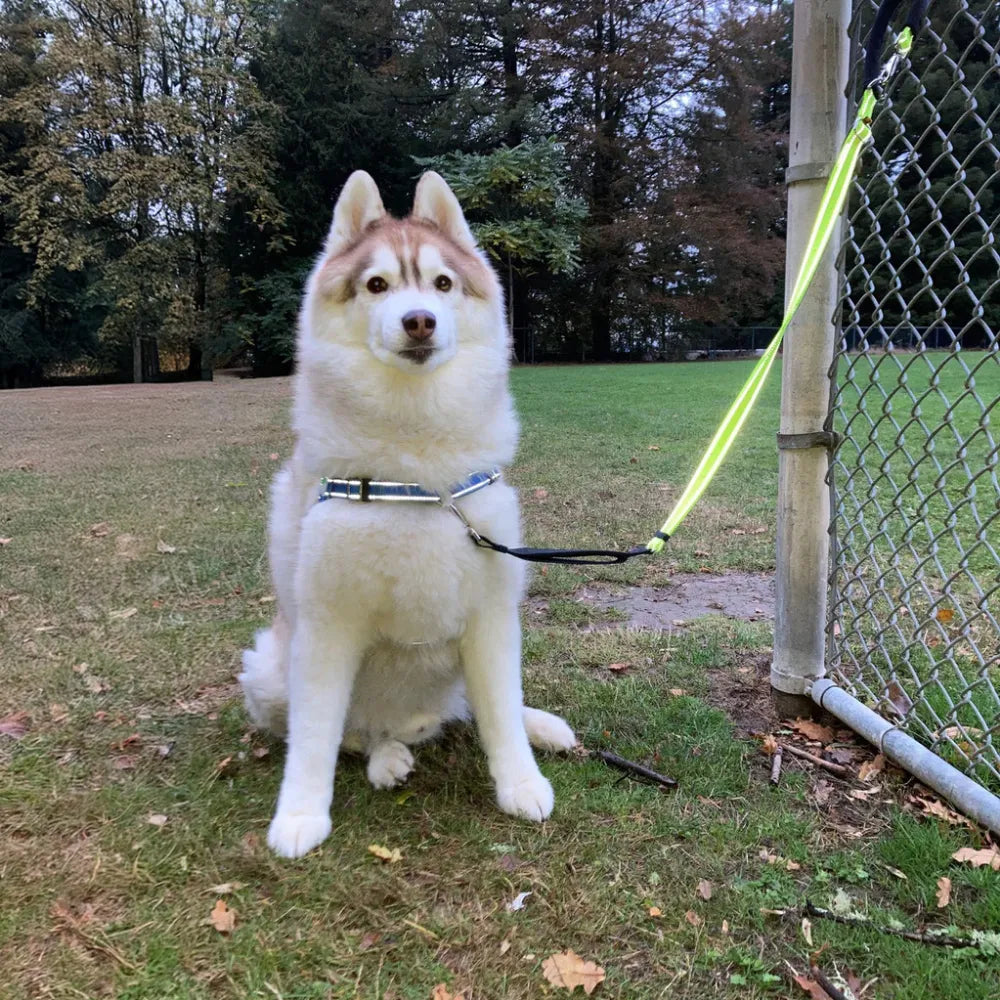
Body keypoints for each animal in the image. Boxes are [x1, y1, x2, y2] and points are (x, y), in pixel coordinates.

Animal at [237, 168, 576, 856]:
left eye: (442, 284)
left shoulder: (491, 614)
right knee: (353, 731)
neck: (413, 475)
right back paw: (384, 754)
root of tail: (416, 721)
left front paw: (520, 781)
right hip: (267, 666)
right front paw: (300, 815)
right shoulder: (326, 626)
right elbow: (314, 738)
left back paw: (538, 727)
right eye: (377, 285)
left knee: (475, 707)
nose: (419, 320)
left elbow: (500, 711)